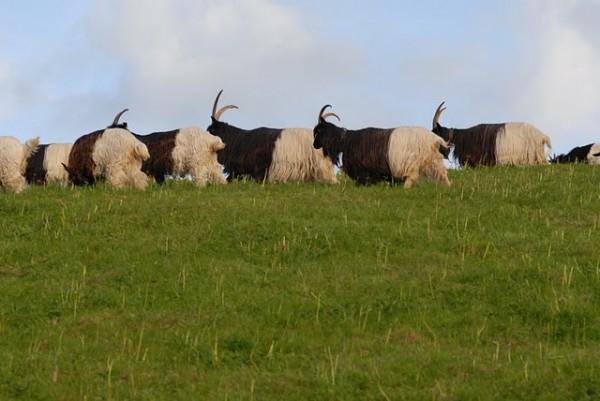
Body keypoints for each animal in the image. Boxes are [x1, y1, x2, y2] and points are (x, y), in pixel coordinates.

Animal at [314, 106, 450, 188]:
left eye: (319, 131)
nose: (314, 145)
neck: (346, 140)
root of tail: (434, 139)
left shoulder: (364, 172)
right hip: (433, 161)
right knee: (443, 175)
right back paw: (448, 186)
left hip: (414, 162)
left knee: (412, 177)